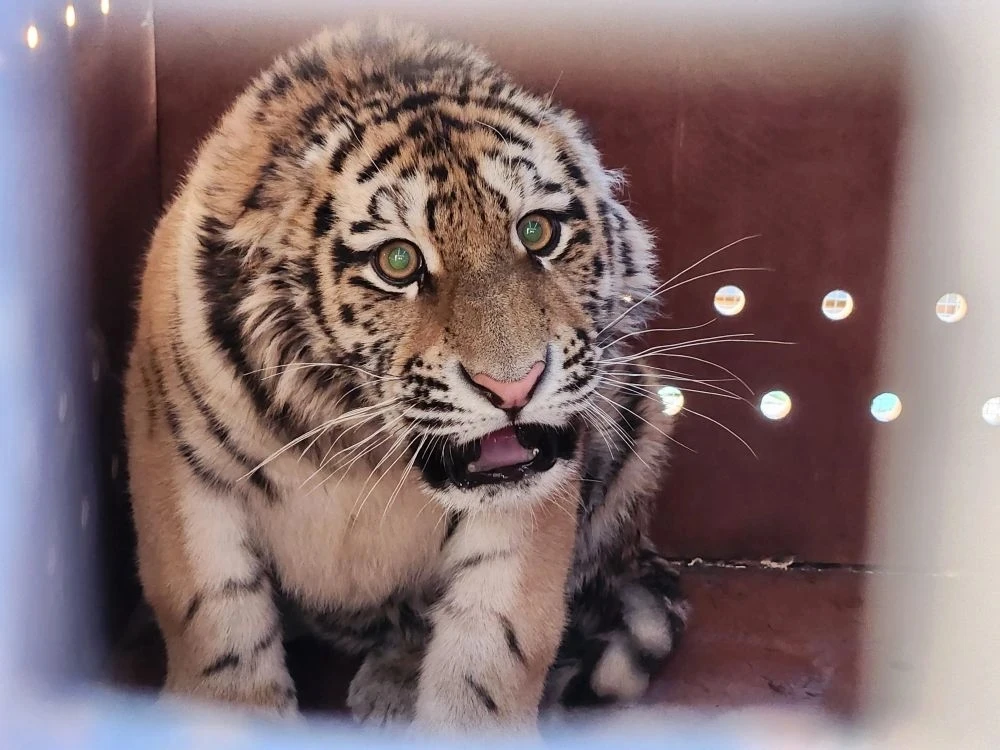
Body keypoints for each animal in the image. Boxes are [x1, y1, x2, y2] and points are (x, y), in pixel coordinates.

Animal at [123, 19, 688, 734]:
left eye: (538, 231)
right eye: (398, 261)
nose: (515, 387)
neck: (356, 441)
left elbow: (494, 651)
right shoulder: (180, 468)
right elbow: (215, 628)